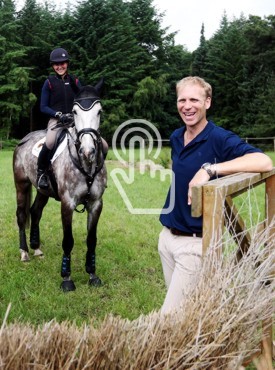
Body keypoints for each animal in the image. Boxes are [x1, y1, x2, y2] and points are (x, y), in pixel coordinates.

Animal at [13, 79, 108, 292]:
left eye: (99, 111)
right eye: (74, 112)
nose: (88, 151)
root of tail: (24, 139)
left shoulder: (96, 204)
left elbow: (91, 240)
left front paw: (92, 274)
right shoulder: (67, 203)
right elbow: (68, 241)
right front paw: (66, 278)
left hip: (43, 191)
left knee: (35, 211)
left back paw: (37, 248)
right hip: (21, 185)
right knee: (22, 215)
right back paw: (24, 252)